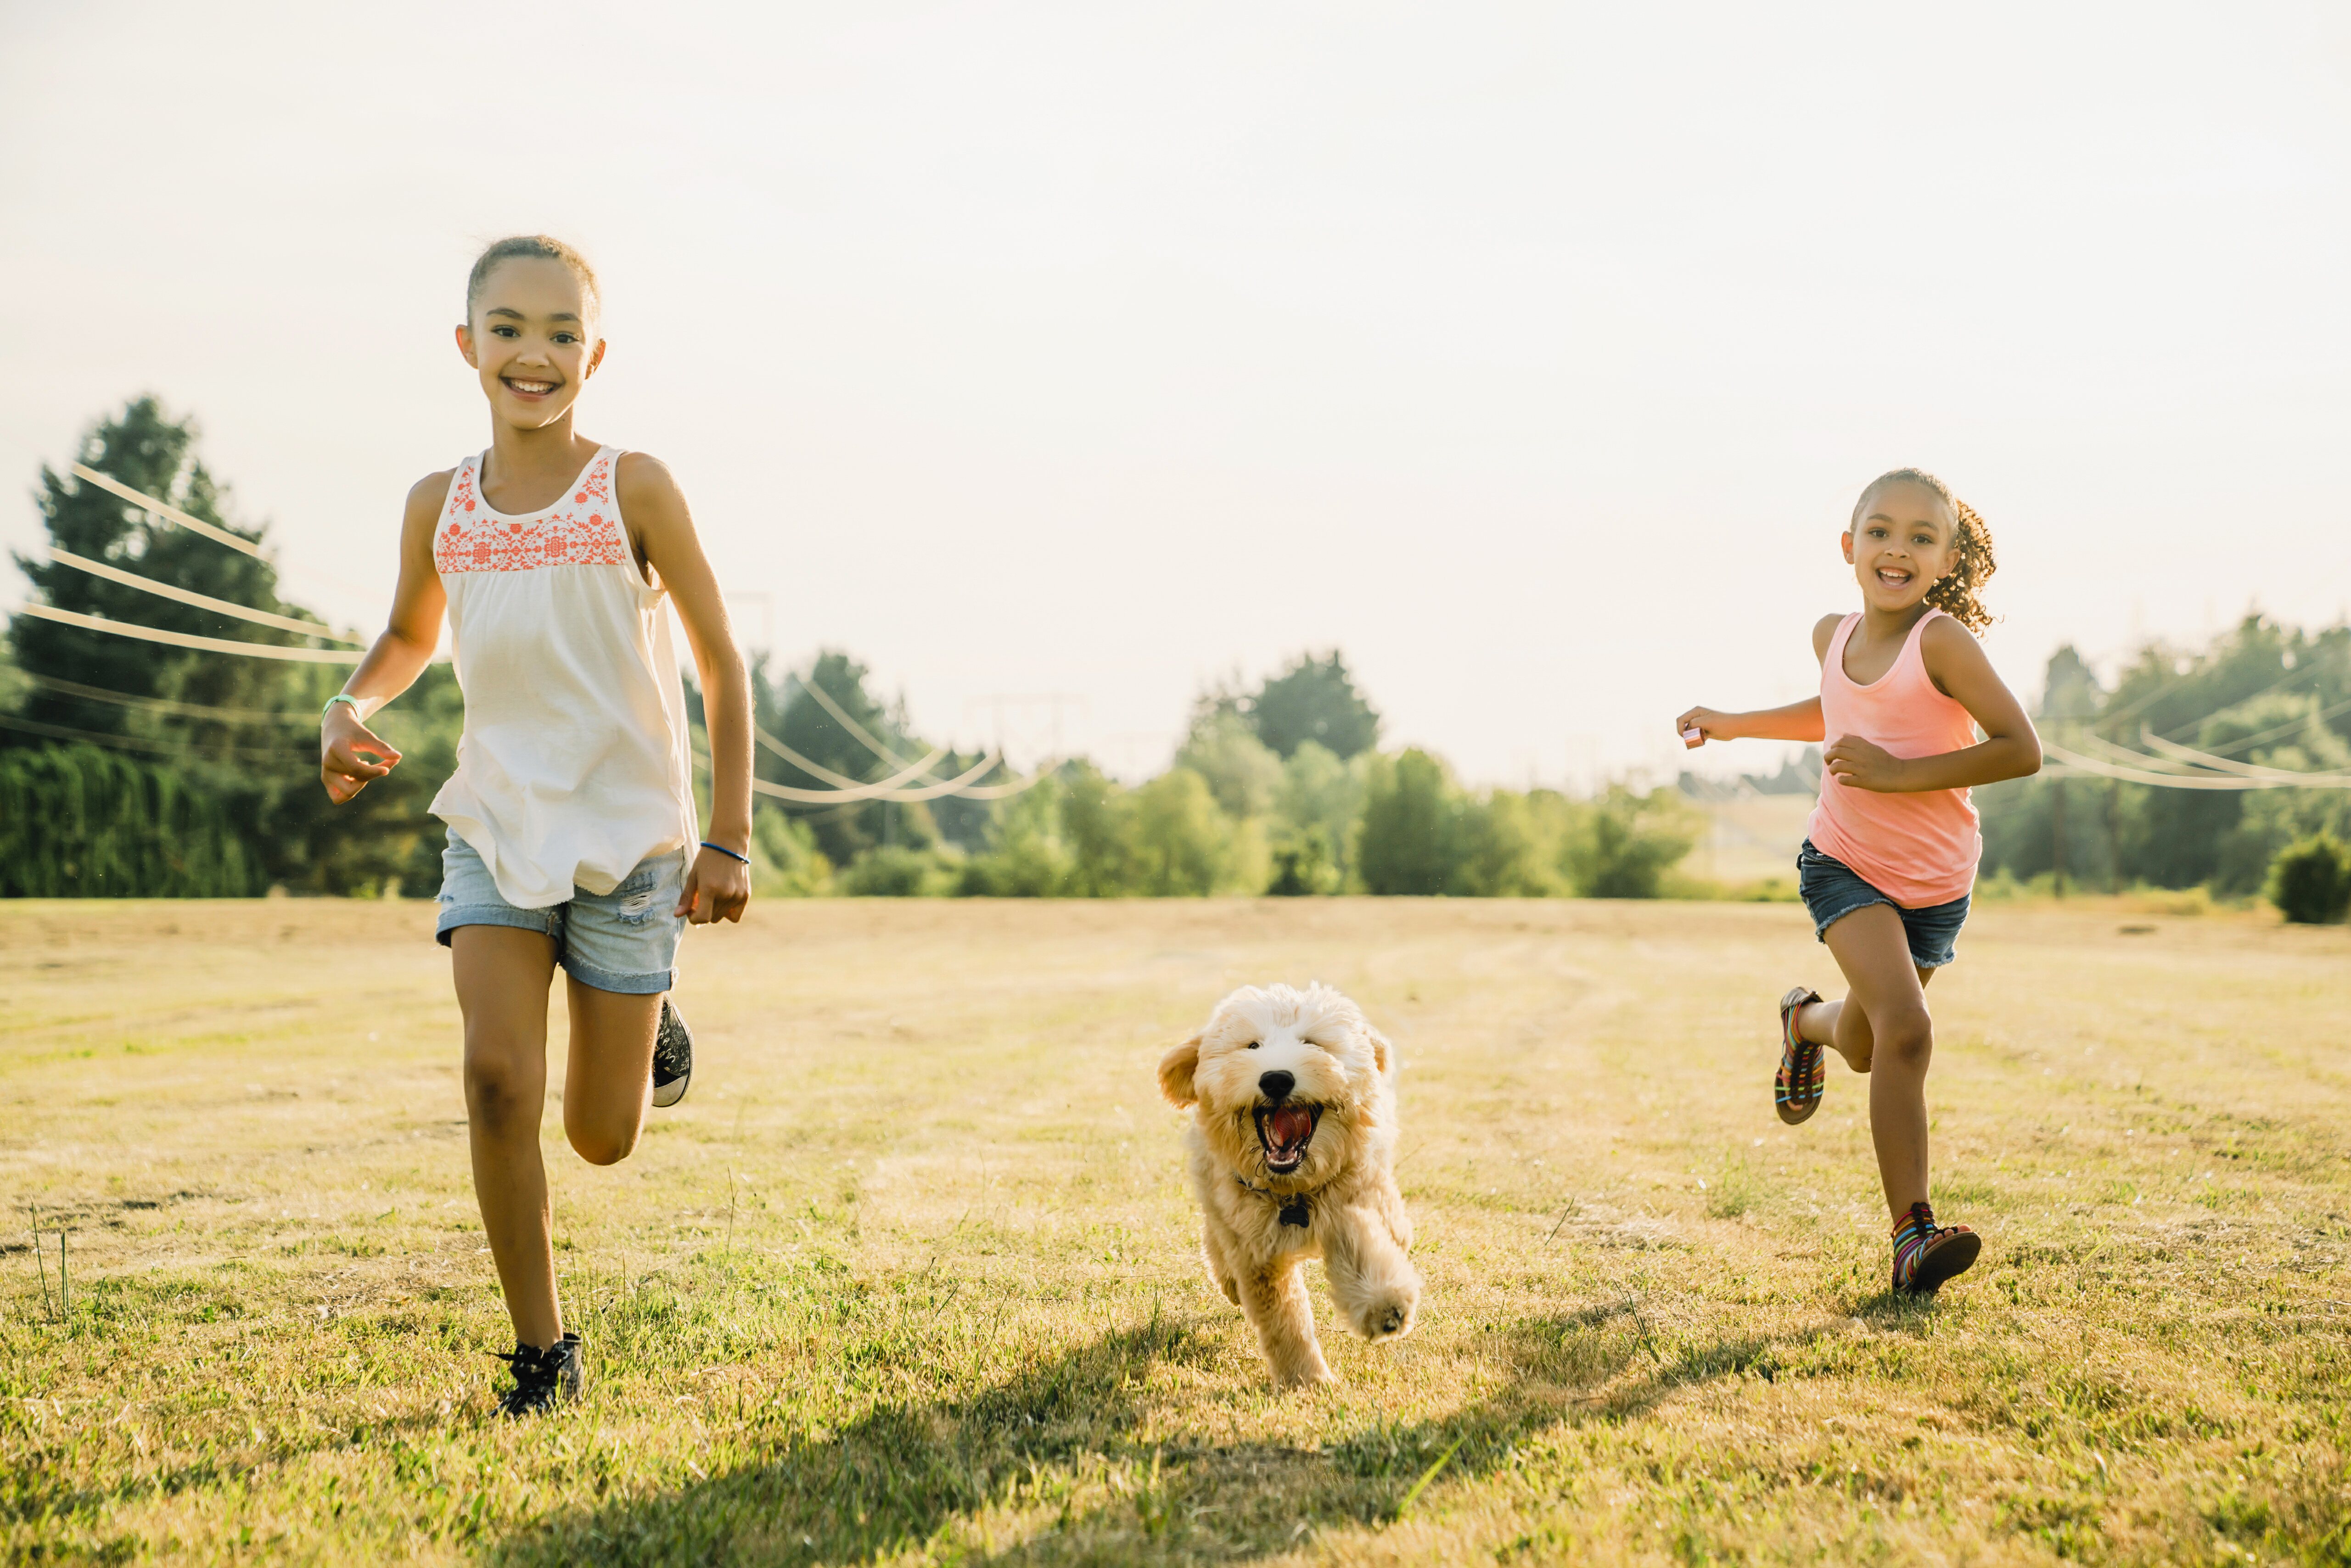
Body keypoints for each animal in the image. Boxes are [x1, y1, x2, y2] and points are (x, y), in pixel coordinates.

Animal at [1152, 982, 1410, 1382]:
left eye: (1312, 1043)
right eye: (1252, 1046)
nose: (1276, 1079)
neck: (1293, 1192)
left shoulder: (1358, 1193)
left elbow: (1362, 1238)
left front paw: (1384, 1304)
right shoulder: (1256, 1253)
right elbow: (1284, 1322)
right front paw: (1307, 1381)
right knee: (1215, 1236)